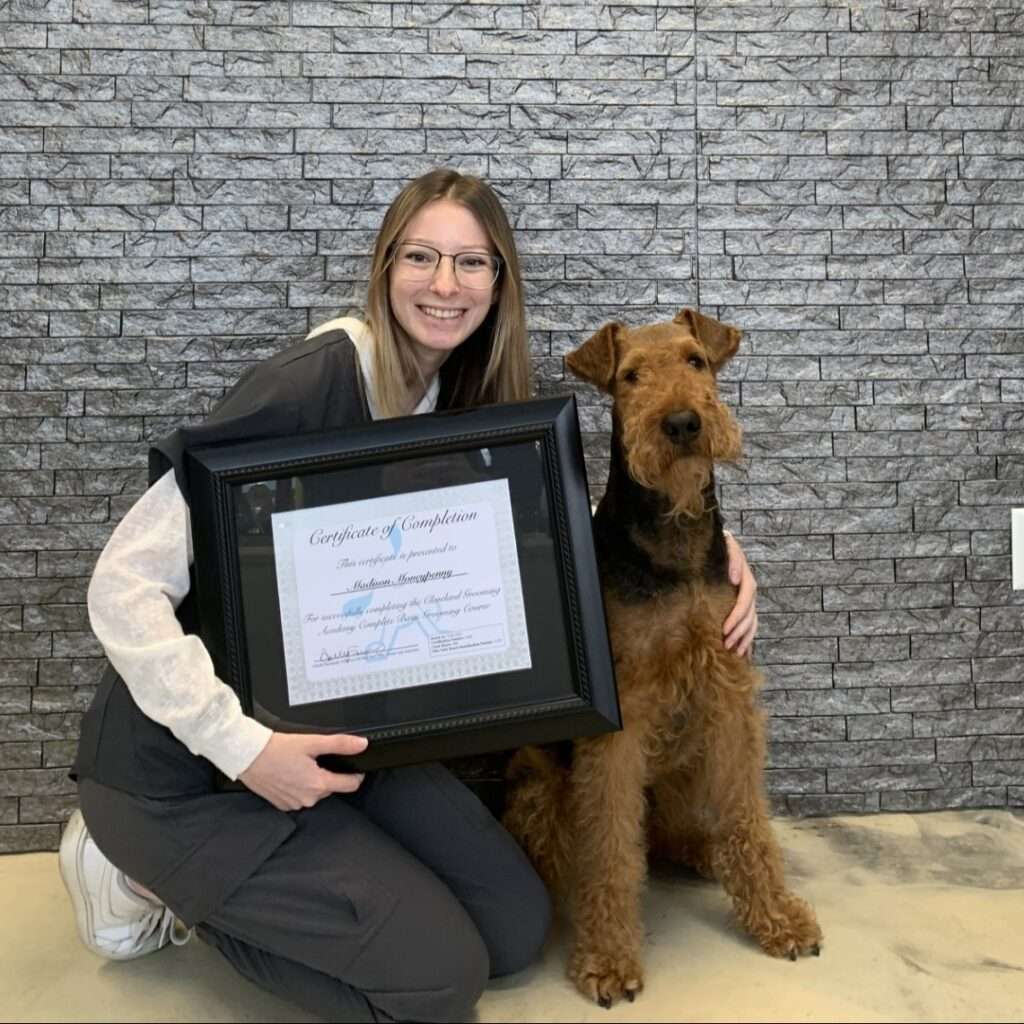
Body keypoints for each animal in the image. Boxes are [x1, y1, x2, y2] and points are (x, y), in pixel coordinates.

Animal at [503, 307, 823, 1003]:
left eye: (695, 361)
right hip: (542, 779)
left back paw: (704, 850)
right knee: (570, 843)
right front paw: (608, 961)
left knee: (686, 828)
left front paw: (779, 919)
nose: (681, 424)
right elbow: (611, 851)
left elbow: (747, 818)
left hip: (687, 755)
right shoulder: (623, 711)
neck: (674, 536)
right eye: (630, 376)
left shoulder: (727, 690)